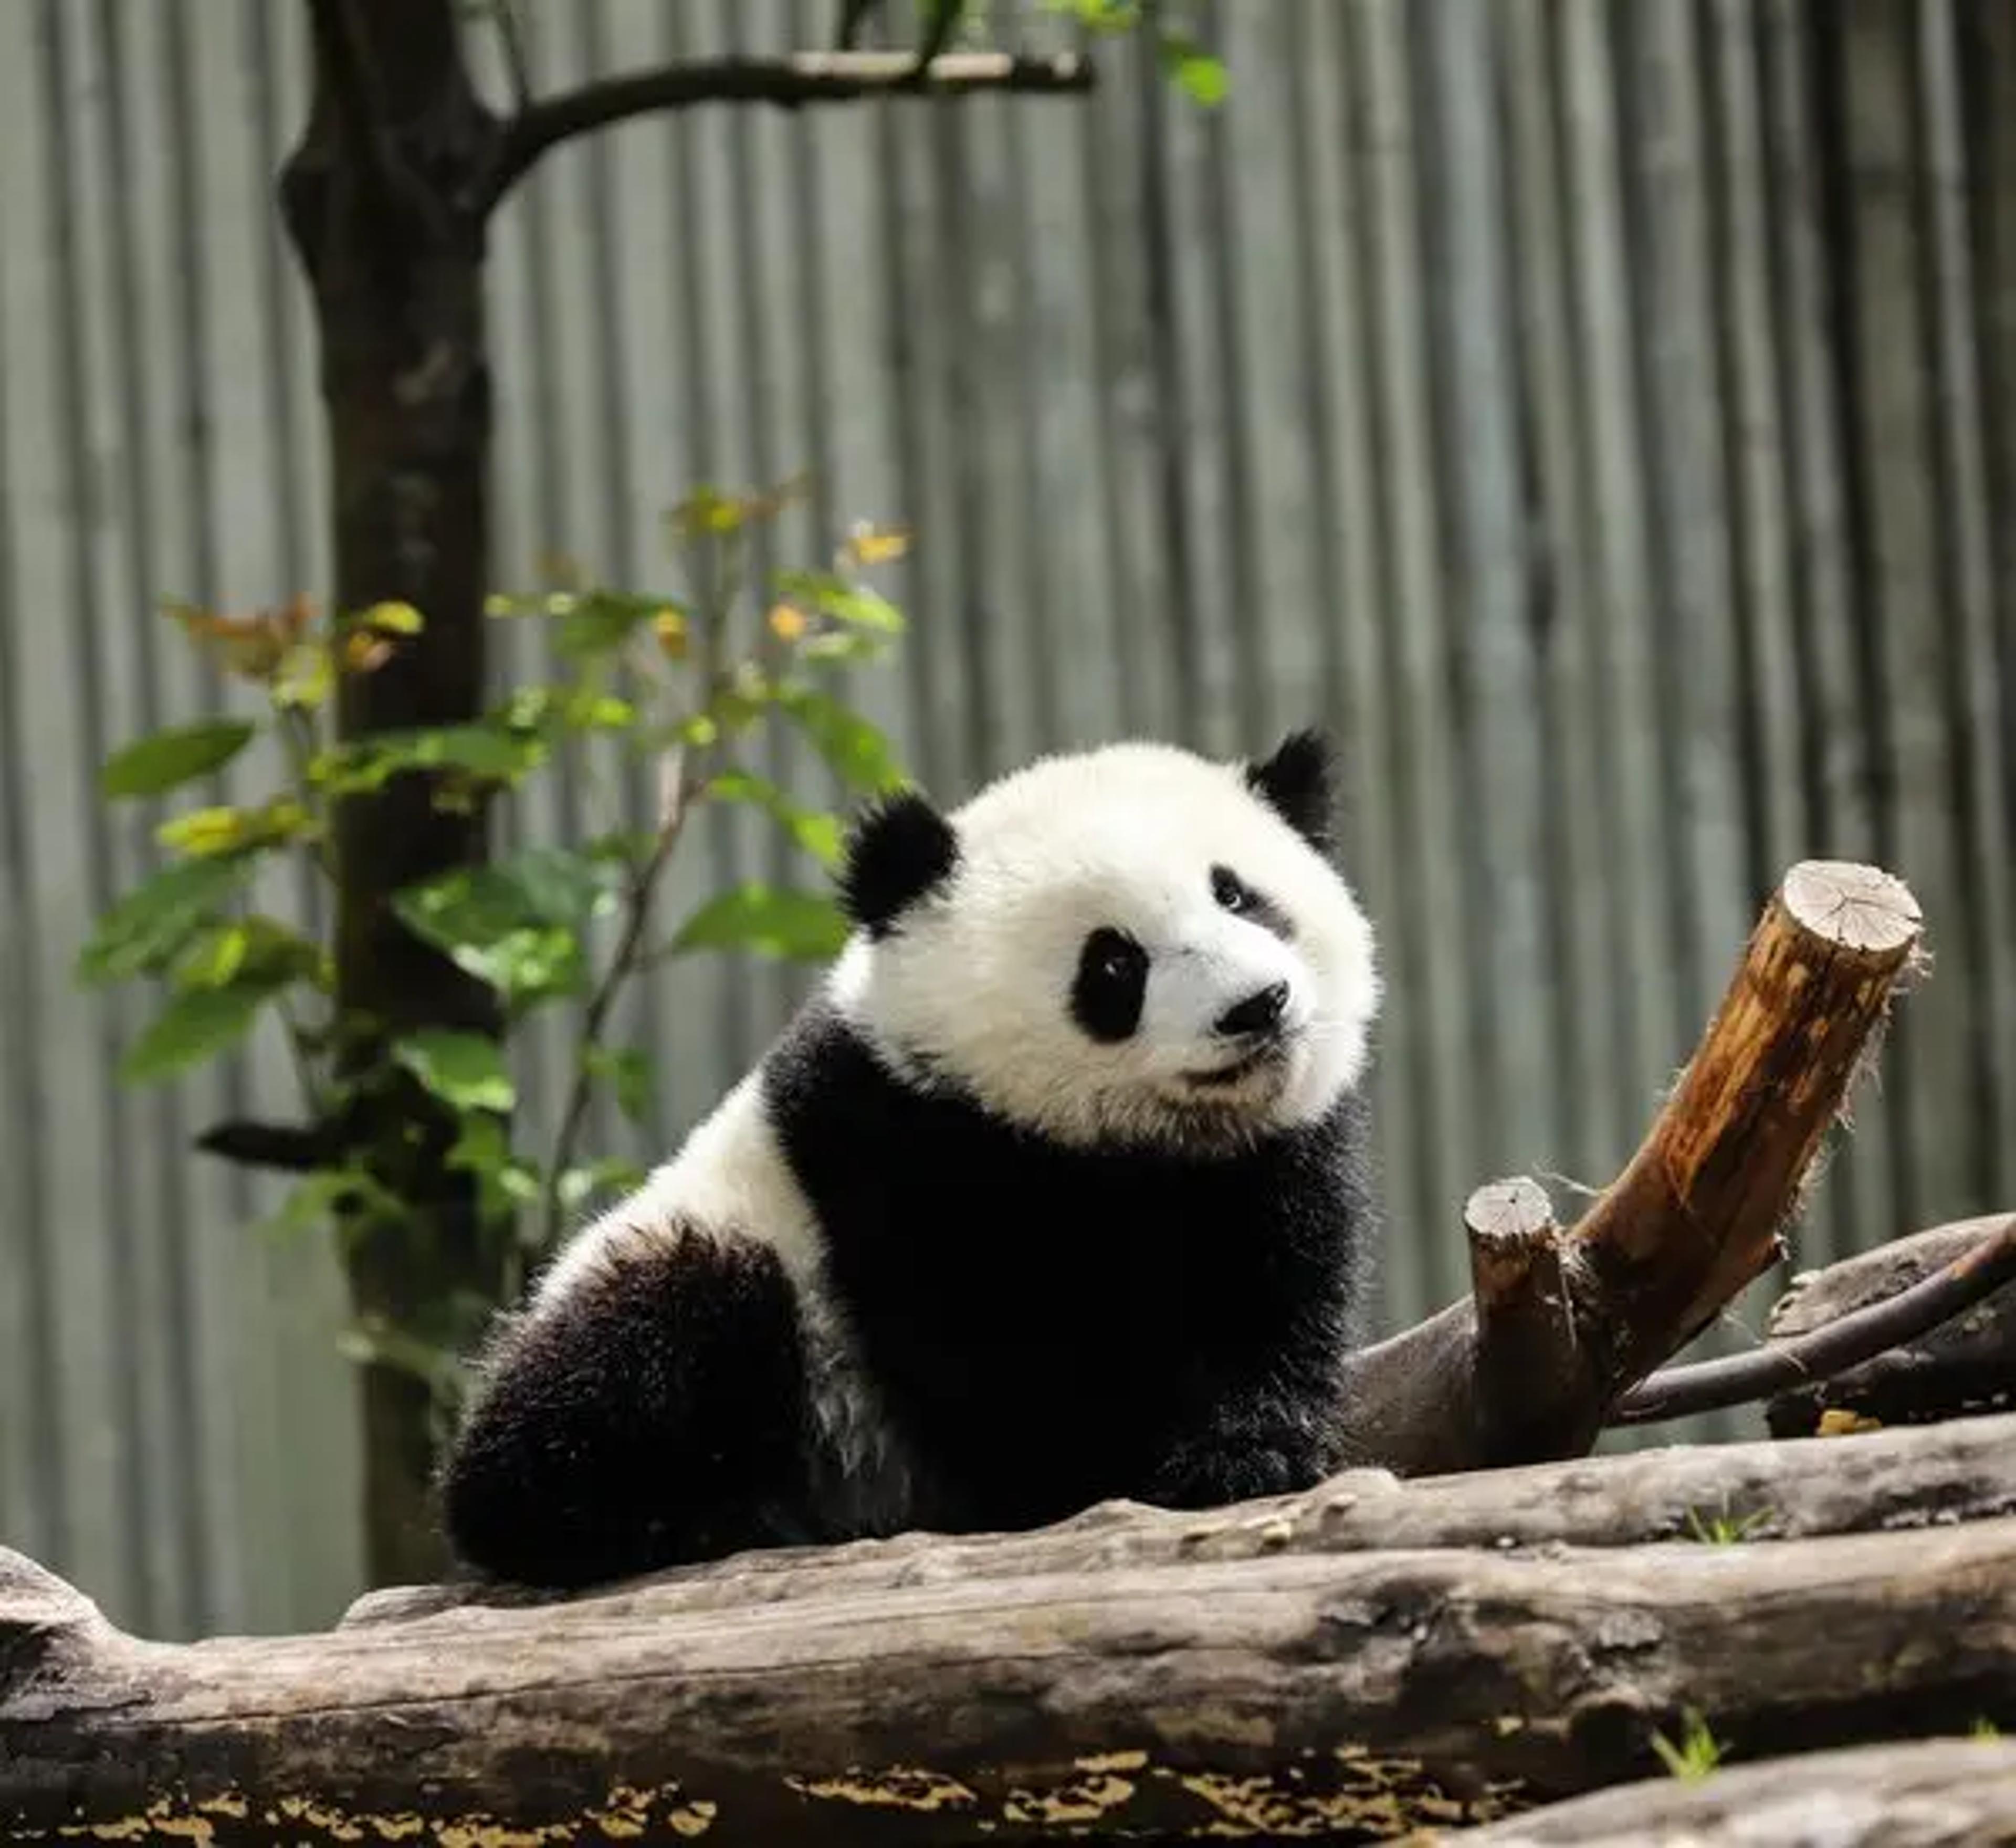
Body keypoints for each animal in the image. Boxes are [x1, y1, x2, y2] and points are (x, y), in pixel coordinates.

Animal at [440, 728, 1383, 1590]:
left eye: (1239, 896)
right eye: (1115, 963)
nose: (1256, 1006)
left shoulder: (1267, 1164)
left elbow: (1266, 1298)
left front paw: (1247, 1453)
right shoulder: (897, 1149)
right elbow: (993, 1353)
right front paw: (1095, 1468)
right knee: (650, 1338)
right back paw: (683, 1516)